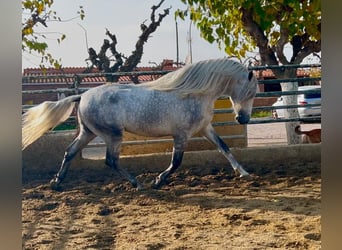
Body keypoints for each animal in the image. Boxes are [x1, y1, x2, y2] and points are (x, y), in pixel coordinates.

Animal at [22, 58, 258, 190]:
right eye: (251, 92)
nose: (243, 119)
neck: (194, 94)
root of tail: (83, 96)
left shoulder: (204, 129)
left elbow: (224, 147)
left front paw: (244, 173)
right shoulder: (182, 135)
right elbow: (176, 162)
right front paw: (158, 181)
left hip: (88, 133)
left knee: (70, 152)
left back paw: (56, 183)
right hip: (113, 135)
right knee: (111, 160)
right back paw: (138, 184)